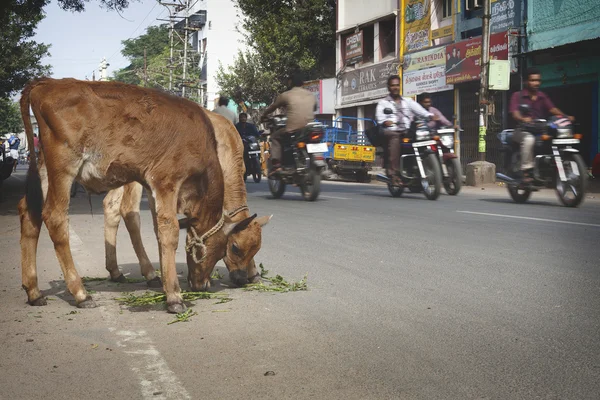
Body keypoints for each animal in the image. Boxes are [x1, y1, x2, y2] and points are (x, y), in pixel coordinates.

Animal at [103, 111, 270, 290]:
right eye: (235, 247)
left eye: (256, 250)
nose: (240, 278)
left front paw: (254, 273)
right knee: (128, 211)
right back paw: (150, 274)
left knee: (110, 205)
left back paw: (115, 271)